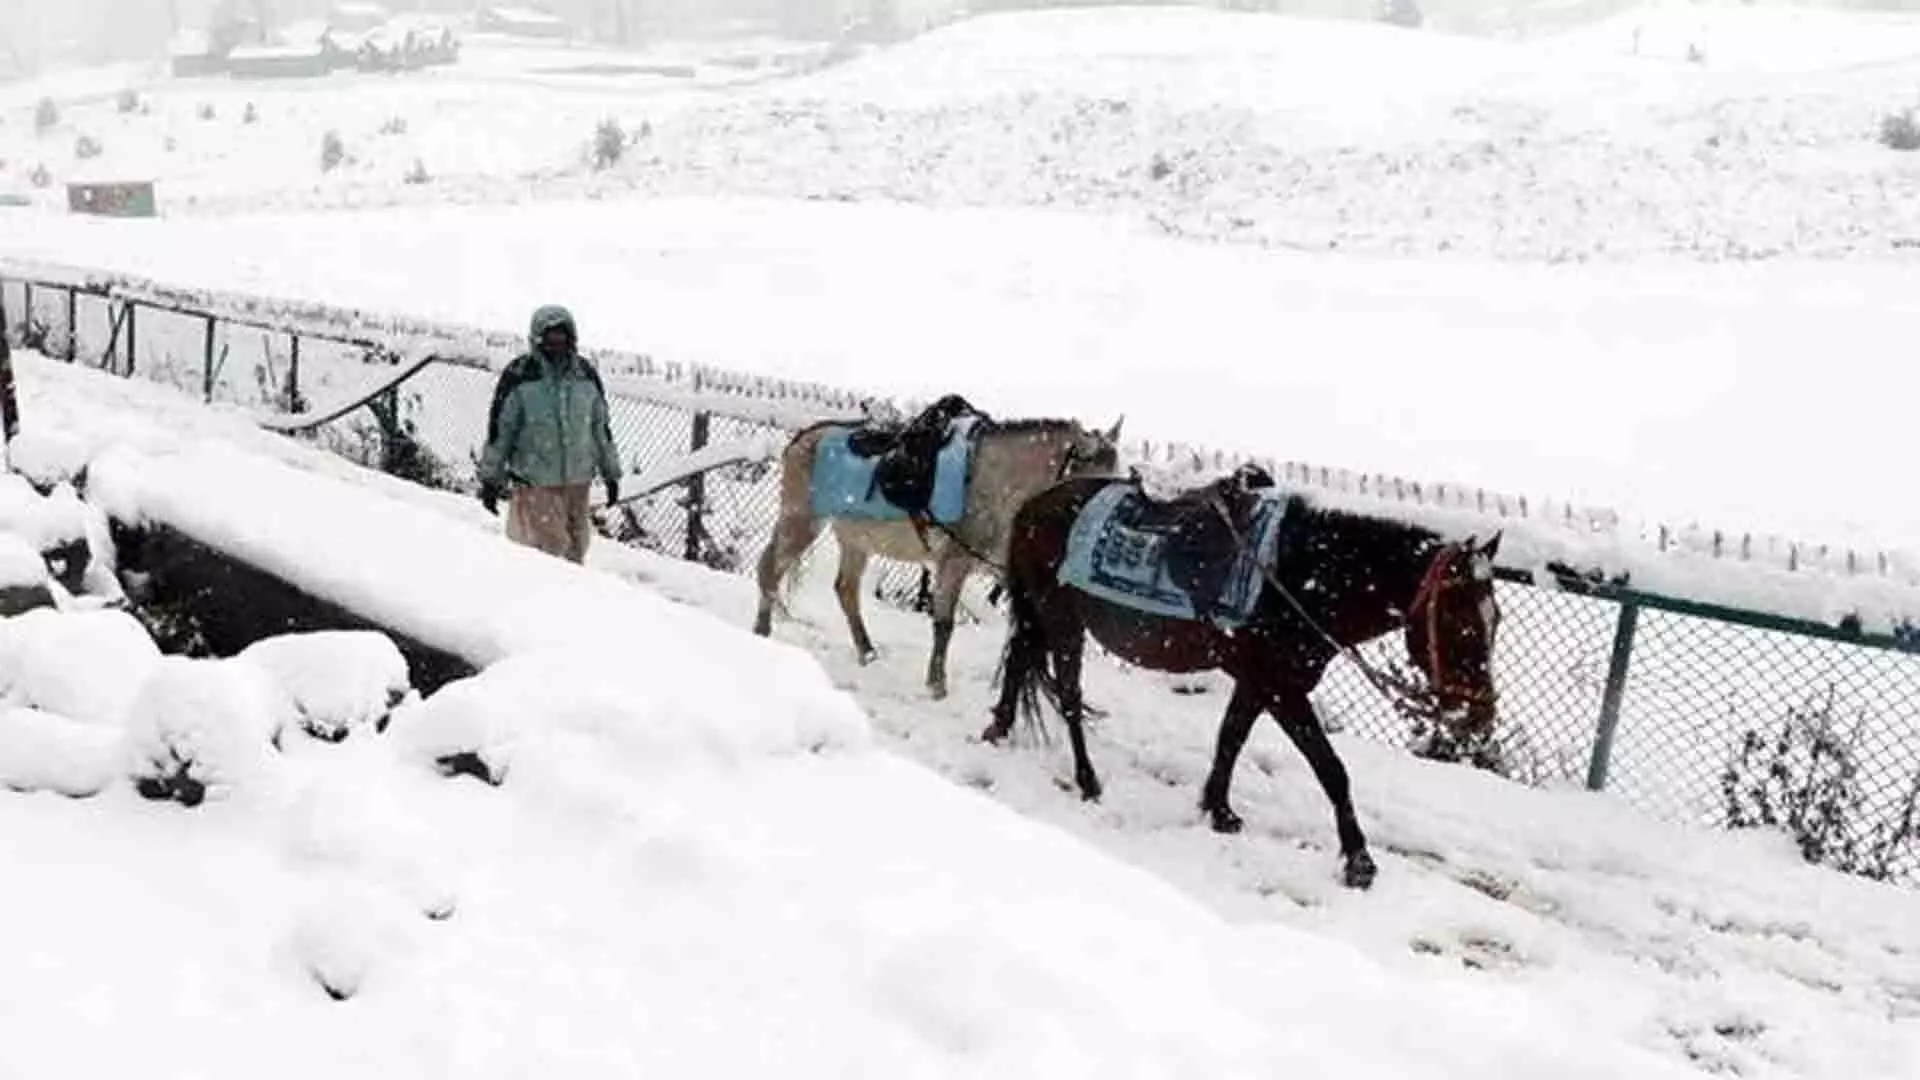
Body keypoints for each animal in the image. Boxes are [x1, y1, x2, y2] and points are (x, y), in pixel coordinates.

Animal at [748, 411, 1121, 699]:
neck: (993, 479)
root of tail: (801, 438)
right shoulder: (953, 563)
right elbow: (944, 625)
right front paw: (937, 685)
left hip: (855, 540)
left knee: (845, 590)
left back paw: (867, 652)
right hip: (801, 522)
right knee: (770, 569)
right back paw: (762, 630)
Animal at [990, 474, 1497, 887]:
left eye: (1496, 621)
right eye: (1460, 624)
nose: (1478, 715)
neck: (1302, 577)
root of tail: (1033, 503)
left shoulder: (1256, 683)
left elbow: (1230, 737)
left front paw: (1219, 810)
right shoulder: (1281, 688)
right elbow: (1331, 768)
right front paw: (1359, 861)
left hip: (1039, 617)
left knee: (1018, 663)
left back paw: (997, 729)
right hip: (1063, 621)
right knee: (1069, 696)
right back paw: (1087, 780)